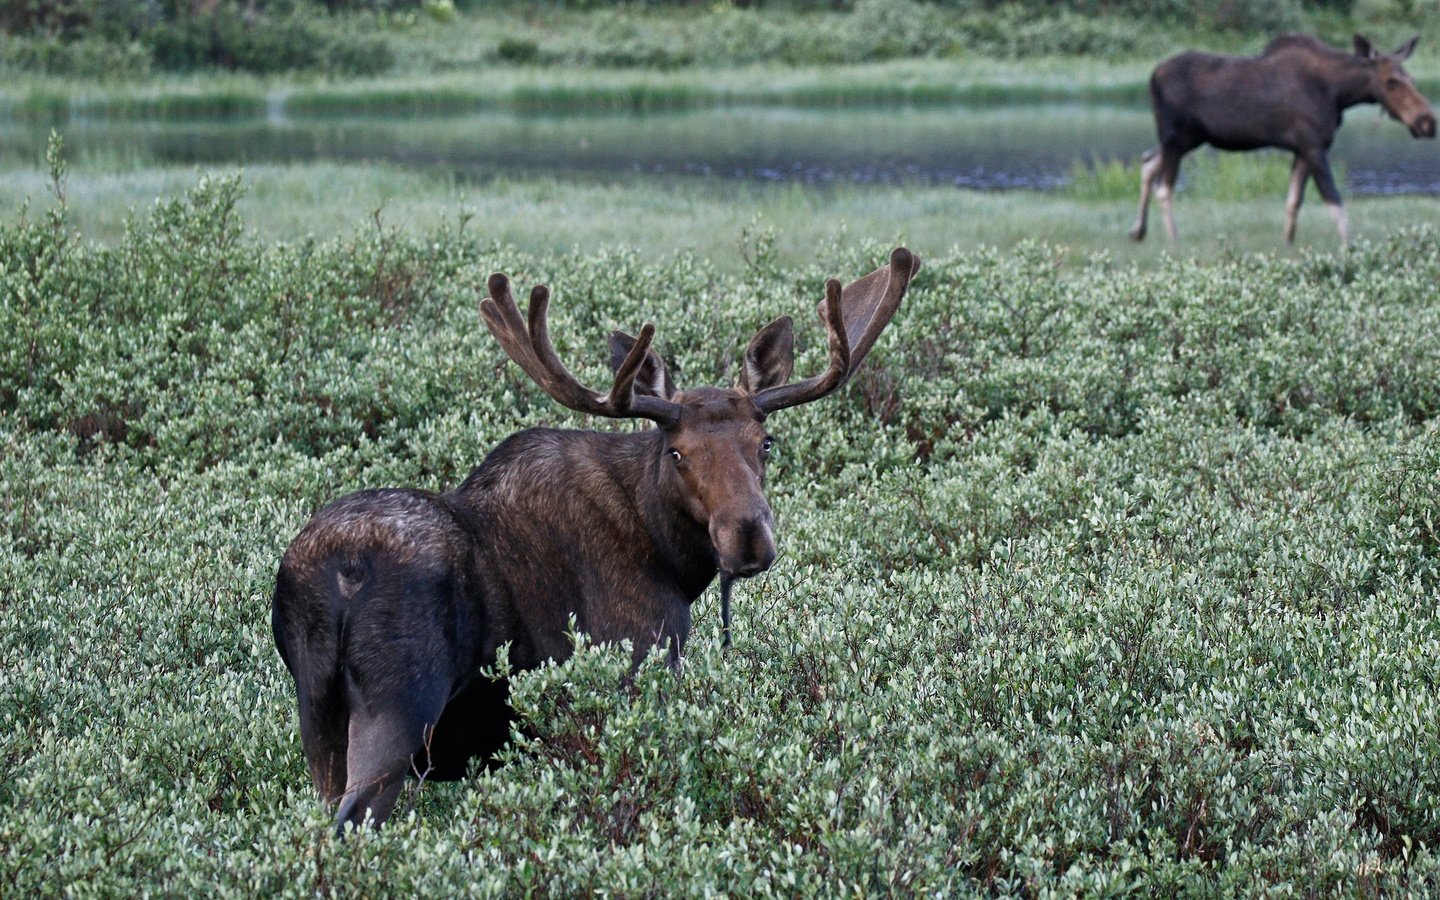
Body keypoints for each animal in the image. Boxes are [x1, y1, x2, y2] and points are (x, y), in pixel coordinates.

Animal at [272, 246, 921, 829]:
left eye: (765, 443)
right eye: (677, 452)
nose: (749, 539)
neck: (672, 559)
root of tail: (334, 578)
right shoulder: (640, 657)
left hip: (319, 720)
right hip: (400, 709)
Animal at [1128, 32, 1434, 243]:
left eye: (1412, 78)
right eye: (1391, 81)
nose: (1428, 121)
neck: (1339, 94)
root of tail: (1152, 77)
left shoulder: (1302, 149)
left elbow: (1293, 202)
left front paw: (1288, 244)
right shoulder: (1313, 145)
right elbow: (1334, 201)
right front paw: (1350, 248)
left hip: (1188, 139)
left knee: (1147, 161)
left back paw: (1138, 231)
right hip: (1176, 137)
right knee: (1164, 187)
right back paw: (1174, 241)